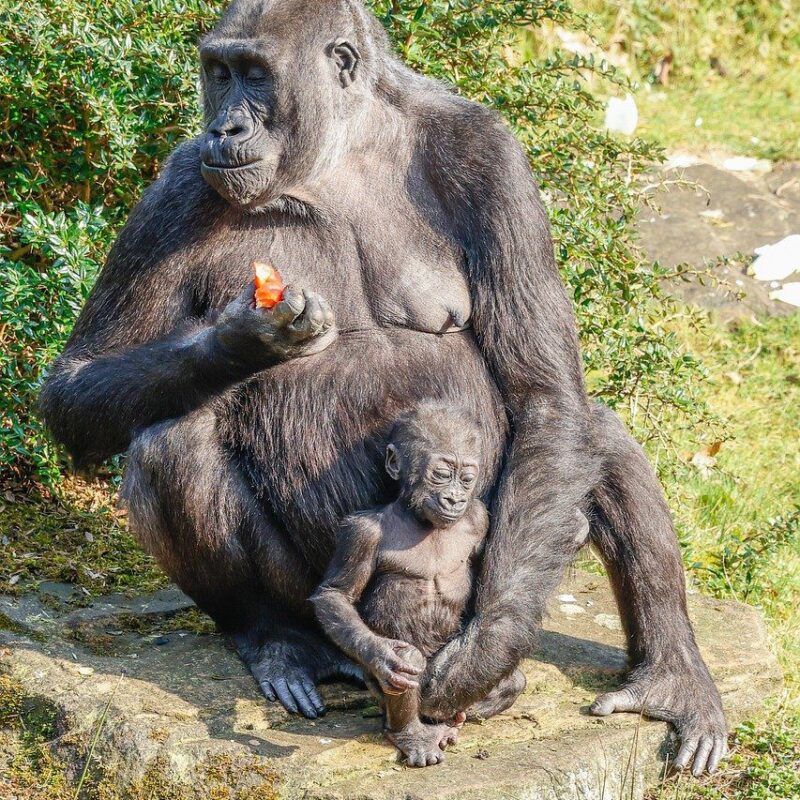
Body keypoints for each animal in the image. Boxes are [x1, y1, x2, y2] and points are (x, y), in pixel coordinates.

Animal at [39, 0, 728, 776]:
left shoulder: (489, 154)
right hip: (322, 608)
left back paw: (668, 678)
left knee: (590, 431)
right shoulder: (179, 186)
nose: (225, 127)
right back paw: (279, 643)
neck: (341, 150)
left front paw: (481, 658)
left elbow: (543, 391)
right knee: (170, 444)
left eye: (254, 75)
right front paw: (240, 339)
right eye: (217, 73)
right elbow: (76, 386)